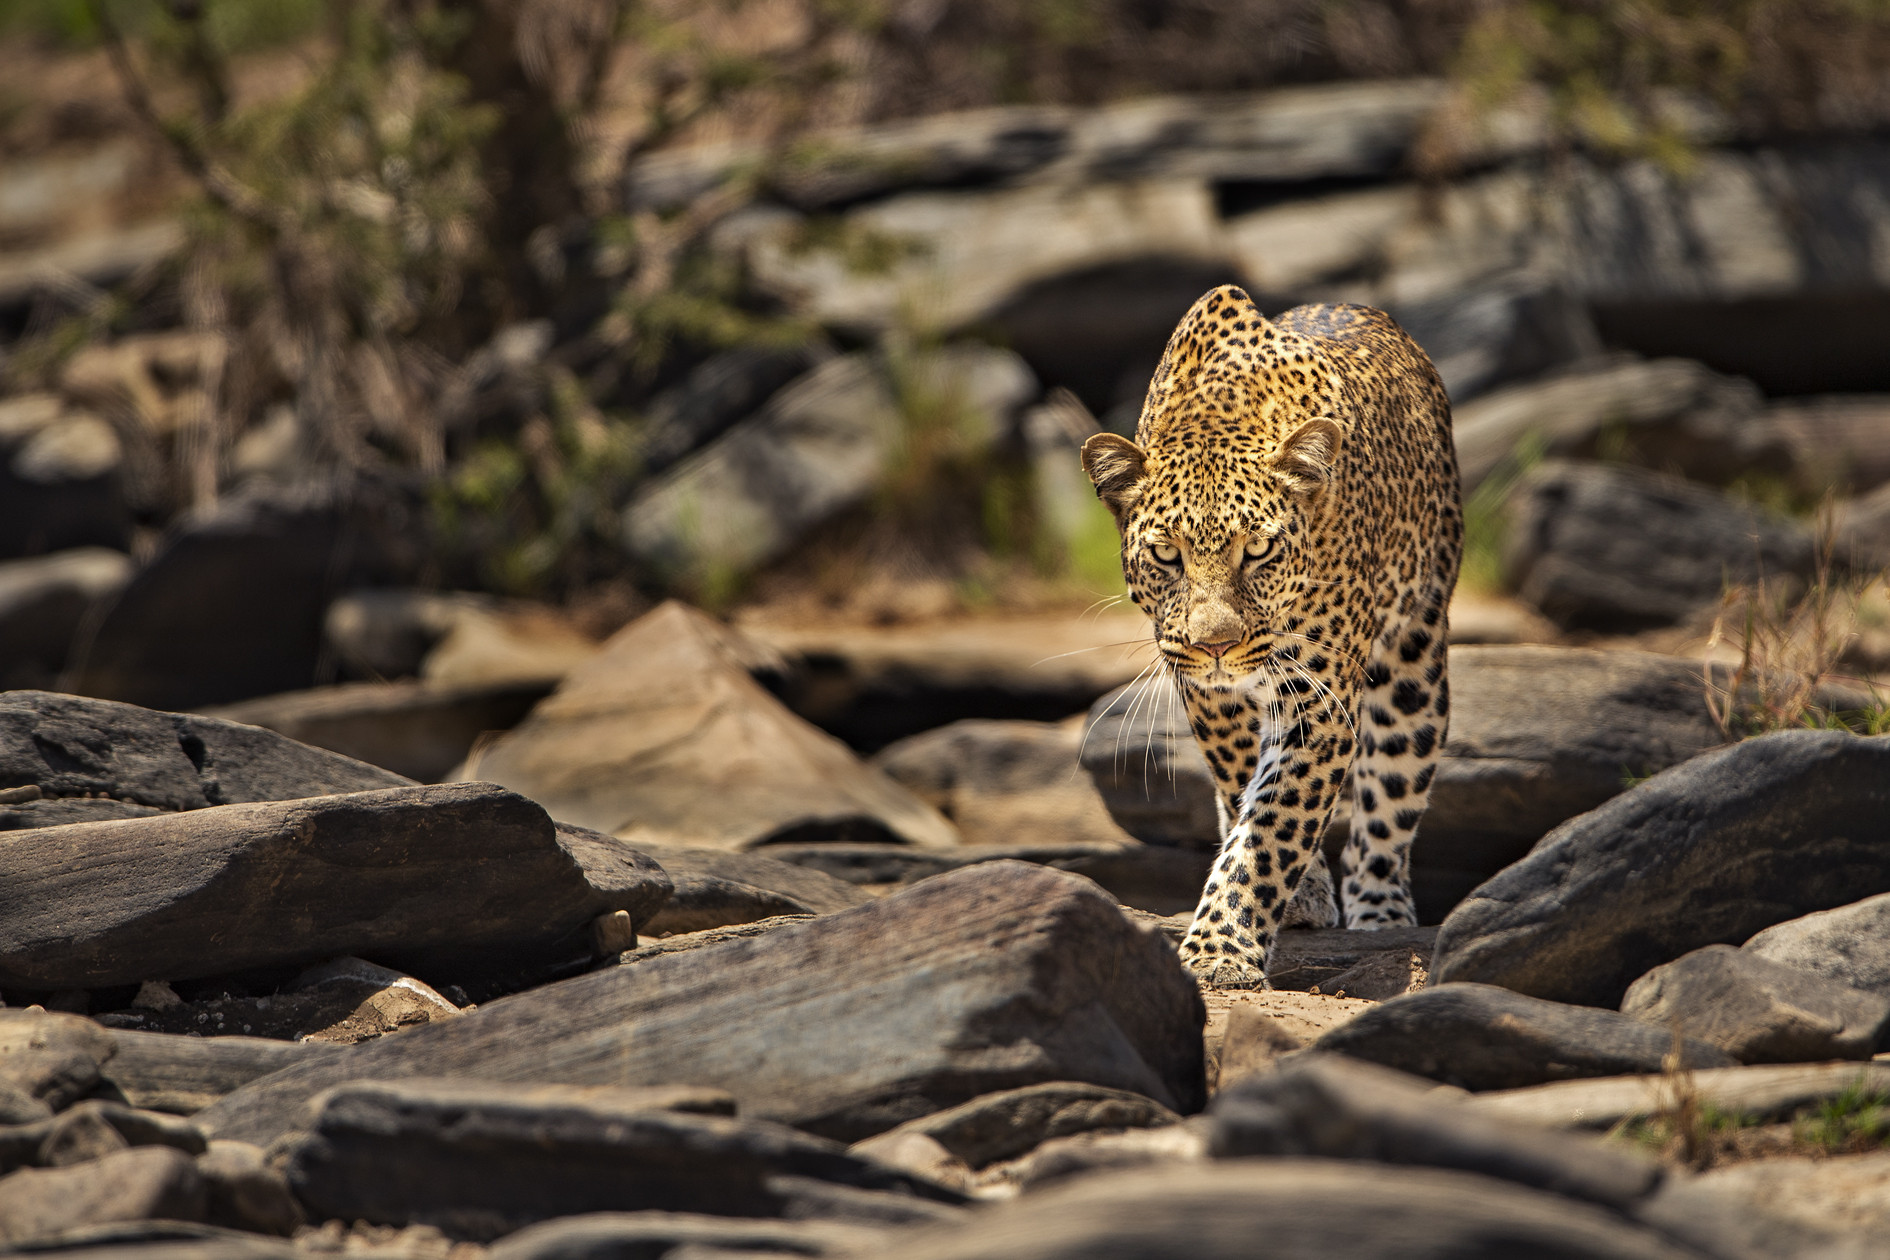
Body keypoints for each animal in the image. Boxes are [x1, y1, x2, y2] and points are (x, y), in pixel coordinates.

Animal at [1081, 283, 1459, 982]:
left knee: (1392, 796)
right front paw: (1301, 893)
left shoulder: (1322, 698)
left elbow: (1273, 826)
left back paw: (1382, 911)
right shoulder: (1207, 694)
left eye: (1257, 550)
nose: (1215, 645)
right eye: (1167, 555)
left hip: (1415, 660)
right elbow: (1245, 791)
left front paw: (1219, 950)